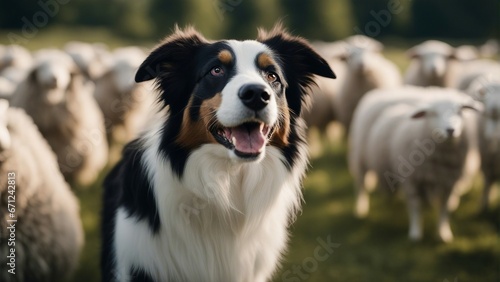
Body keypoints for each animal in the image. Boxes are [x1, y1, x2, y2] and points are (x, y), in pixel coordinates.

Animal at [350, 87, 482, 242]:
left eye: (459, 111)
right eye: (433, 113)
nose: (450, 130)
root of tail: (377, 92)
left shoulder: (448, 182)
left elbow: (444, 208)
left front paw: (443, 233)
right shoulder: (413, 180)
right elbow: (416, 206)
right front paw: (415, 233)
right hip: (361, 157)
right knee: (361, 184)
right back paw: (361, 209)